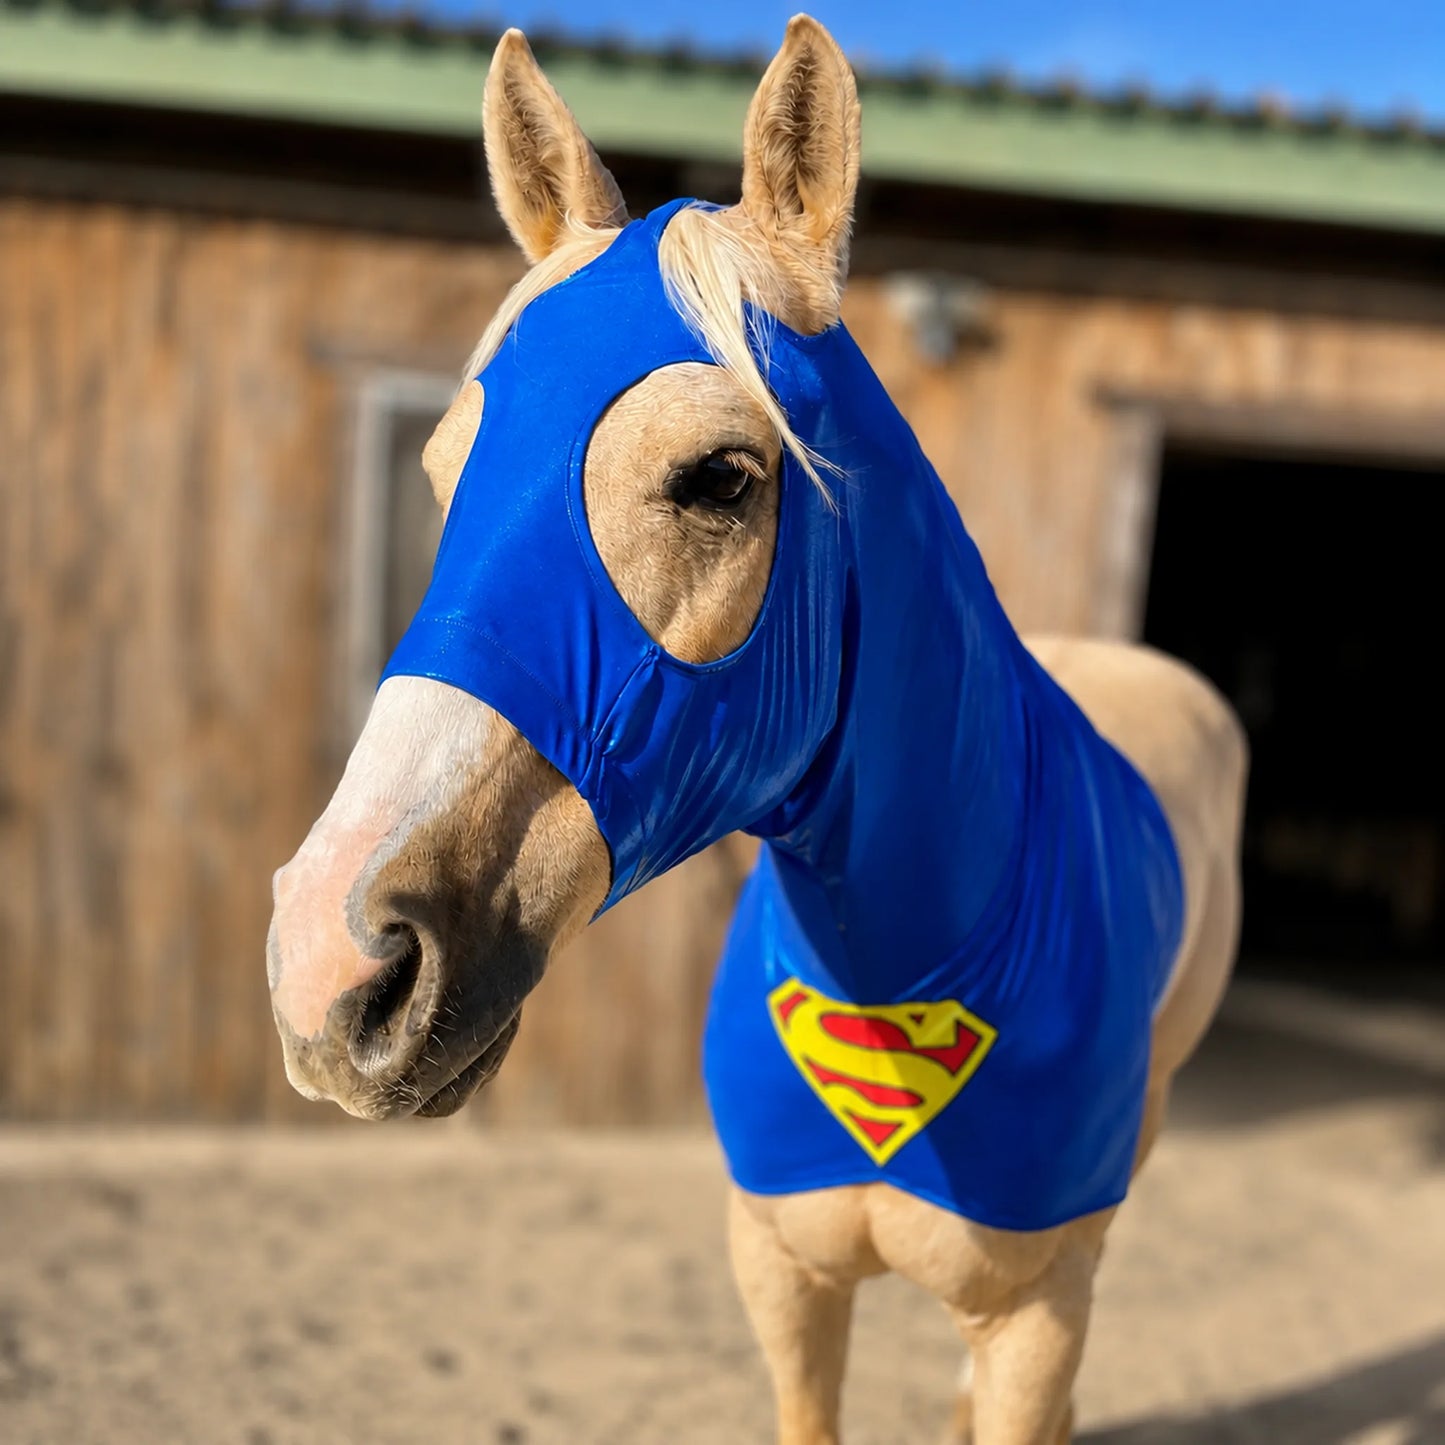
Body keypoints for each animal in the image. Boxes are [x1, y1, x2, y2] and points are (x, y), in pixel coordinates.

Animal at [266, 18, 1248, 1443]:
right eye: (446, 475)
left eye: (720, 476)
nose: (328, 961)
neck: (902, 977)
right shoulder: (778, 1270)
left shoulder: (1035, 1317)